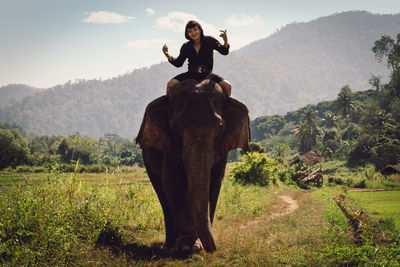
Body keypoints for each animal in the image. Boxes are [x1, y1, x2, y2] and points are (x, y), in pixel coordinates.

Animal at [136, 79, 248, 253]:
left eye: (219, 127)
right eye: (175, 128)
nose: (214, 249)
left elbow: (214, 183)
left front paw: (196, 245)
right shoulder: (169, 146)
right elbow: (172, 182)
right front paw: (184, 246)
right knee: (161, 194)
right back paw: (169, 246)